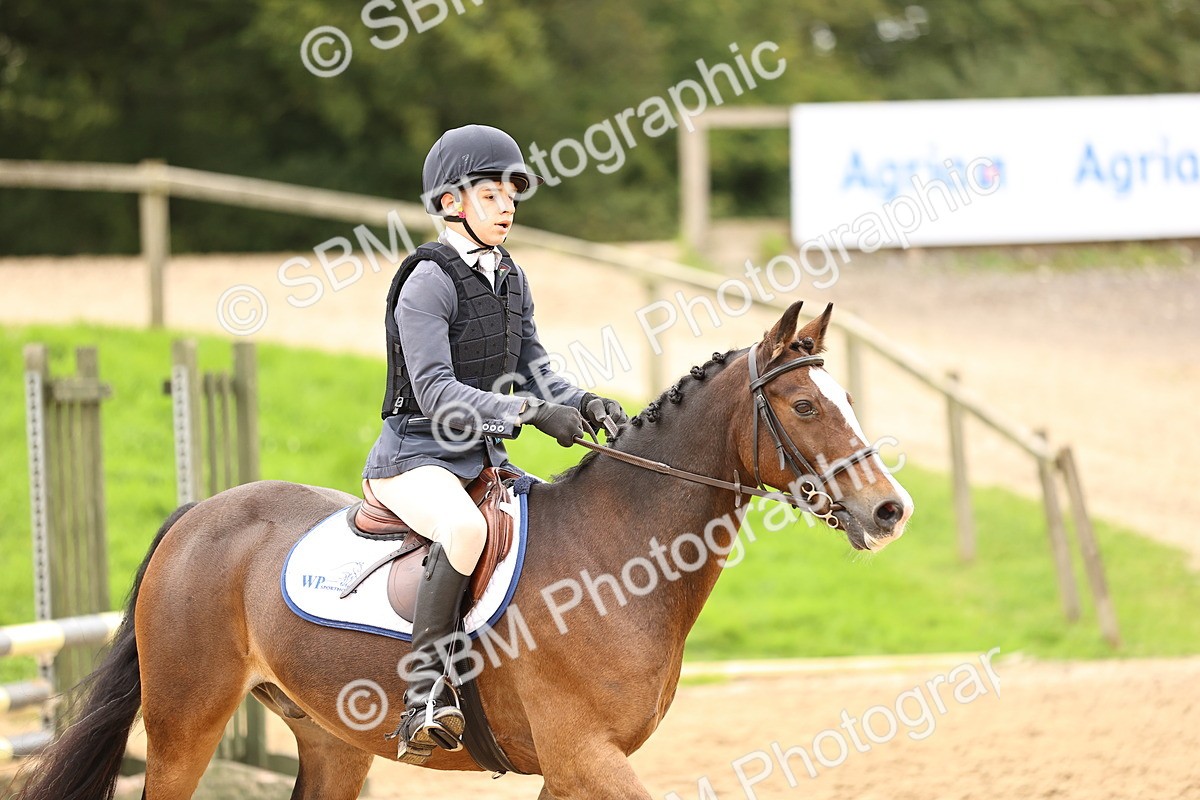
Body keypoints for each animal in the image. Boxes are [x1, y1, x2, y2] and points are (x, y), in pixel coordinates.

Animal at [15, 300, 913, 800]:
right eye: (804, 405)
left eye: (844, 397)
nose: (890, 509)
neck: (622, 554)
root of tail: (200, 514)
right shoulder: (587, 757)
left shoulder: (570, 769)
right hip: (183, 726)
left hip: (333, 743)